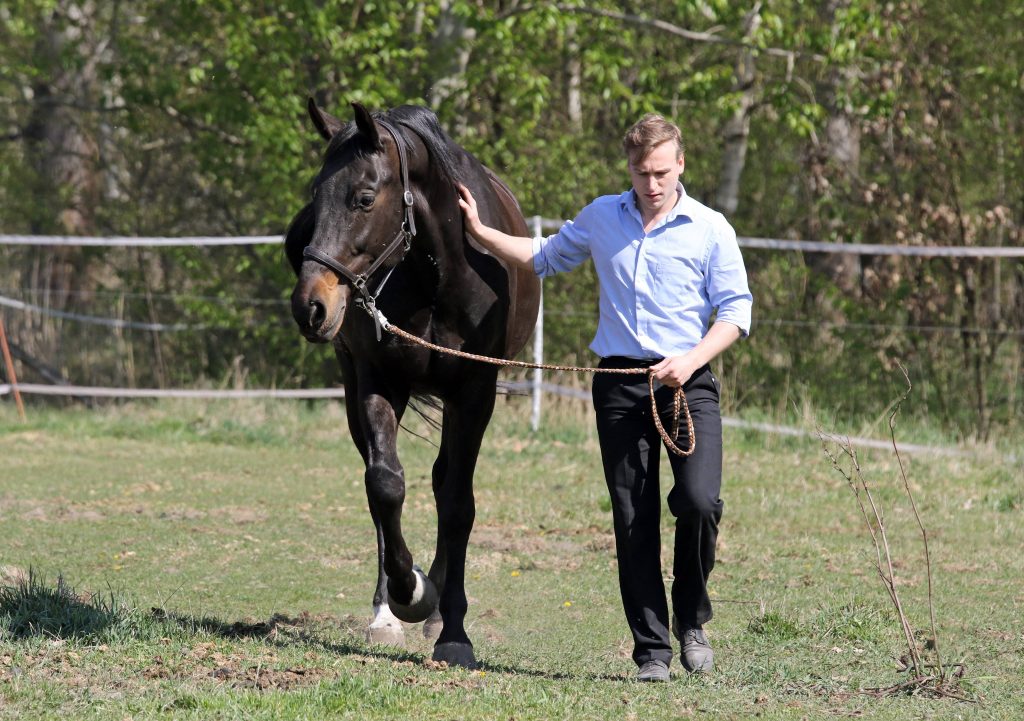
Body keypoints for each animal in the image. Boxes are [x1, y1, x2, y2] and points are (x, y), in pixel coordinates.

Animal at [284, 98, 544, 667]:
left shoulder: (474, 393)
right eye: (314, 196)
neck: (439, 274)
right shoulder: (378, 381)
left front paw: (453, 631)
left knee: (446, 483)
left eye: (363, 198)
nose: (311, 306)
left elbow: (458, 502)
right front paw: (408, 595)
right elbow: (385, 485)